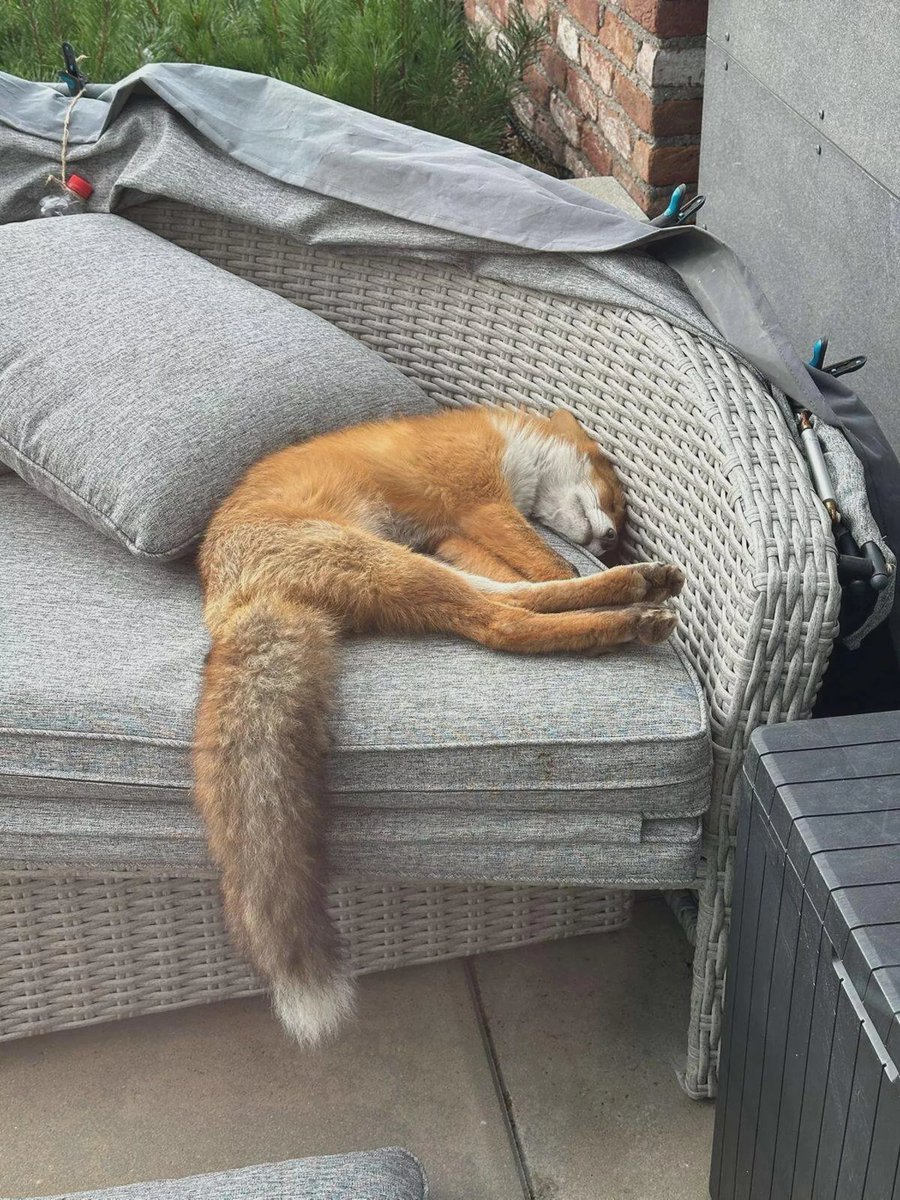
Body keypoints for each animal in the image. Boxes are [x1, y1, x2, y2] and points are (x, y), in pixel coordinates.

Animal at [193, 405, 685, 1046]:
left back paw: (630, 599)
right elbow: (546, 563)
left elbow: (531, 576)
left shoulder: (454, 534)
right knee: (502, 622)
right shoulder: (479, 502)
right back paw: (629, 599)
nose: (609, 544)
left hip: (410, 566)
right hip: (391, 561)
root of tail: (230, 604)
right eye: (617, 501)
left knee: (508, 601)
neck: (513, 449)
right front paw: (602, 573)